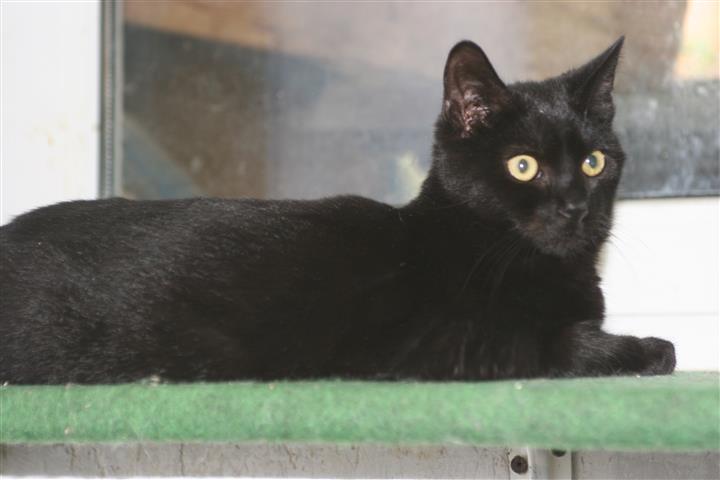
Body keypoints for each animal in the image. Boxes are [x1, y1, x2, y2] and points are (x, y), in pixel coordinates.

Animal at [0, 37, 676, 384]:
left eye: (593, 161)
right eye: (523, 166)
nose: (575, 207)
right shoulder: (451, 346)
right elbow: (570, 347)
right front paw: (647, 347)